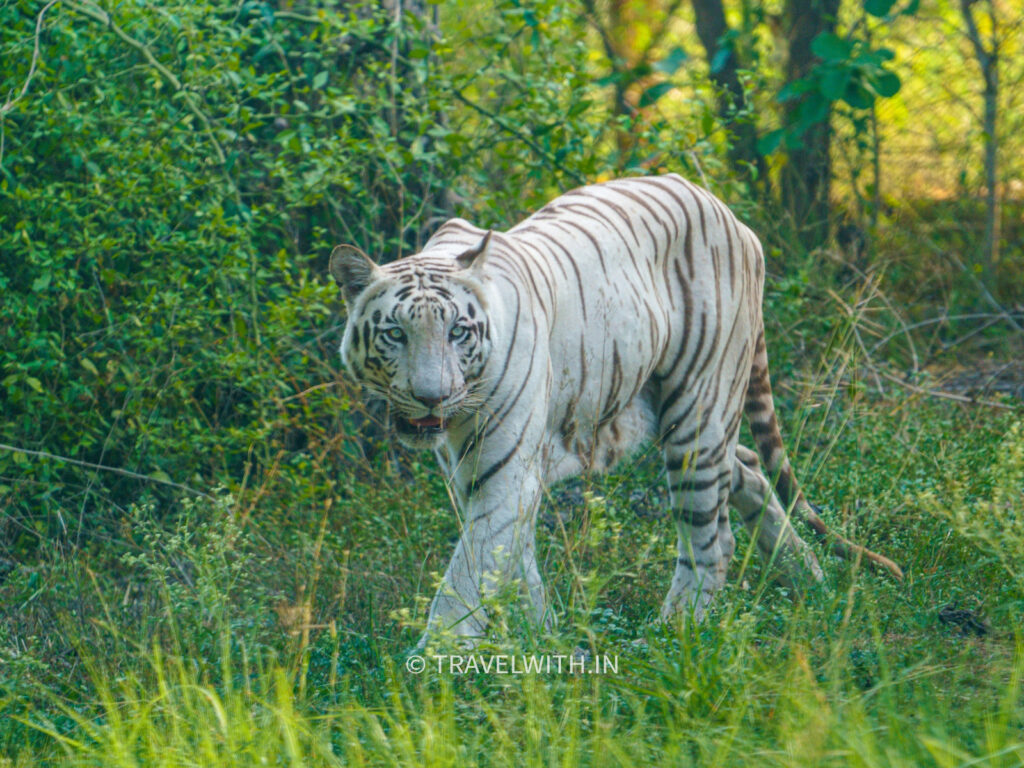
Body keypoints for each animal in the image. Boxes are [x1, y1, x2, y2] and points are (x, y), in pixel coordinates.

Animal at [329, 173, 905, 643]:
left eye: (457, 332)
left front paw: (434, 668)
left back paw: (675, 632)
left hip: (696, 413)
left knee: (710, 540)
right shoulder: (474, 473)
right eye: (396, 334)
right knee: (747, 467)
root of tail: (732, 216)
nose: (432, 396)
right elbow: (514, 562)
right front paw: (543, 635)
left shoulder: (502, 472)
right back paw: (810, 580)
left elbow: (468, 572)